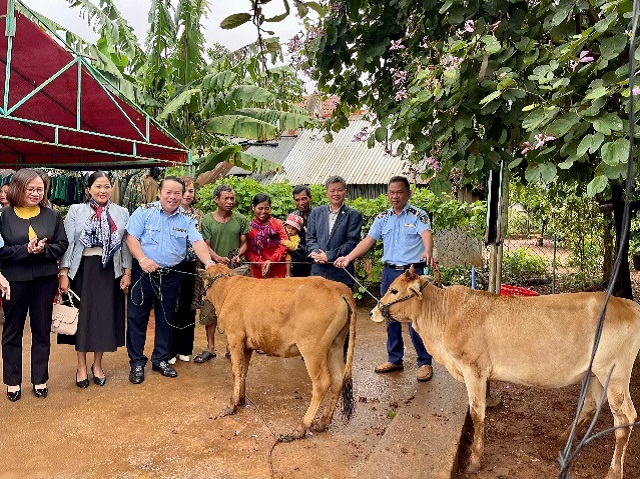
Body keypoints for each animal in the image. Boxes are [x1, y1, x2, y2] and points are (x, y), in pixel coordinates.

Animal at [202, 264, 358, 440]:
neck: (227, 289)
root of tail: (339, 288)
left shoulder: (235, 337)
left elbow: (236, 371)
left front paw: (231, 405)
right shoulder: (247, 345)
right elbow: (243, 371)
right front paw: (241, 400)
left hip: (312, 348)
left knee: (322, 383)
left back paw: (301, 428)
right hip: (334, 345)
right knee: (338, 379)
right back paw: (322, 423)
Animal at [368, 268, 640, 478]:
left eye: (394, 290)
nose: (373, 312)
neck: (443, 315)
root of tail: (628, 304)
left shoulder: (474, 369)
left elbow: (477, 413)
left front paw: (475, 459)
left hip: (615, 375)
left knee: (625, 418)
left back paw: (614, 471)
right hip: (595, 373)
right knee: (591, 405)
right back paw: (561, 441)